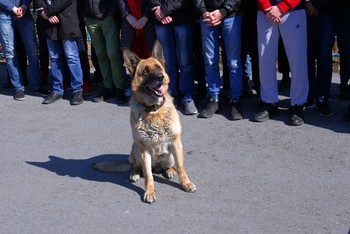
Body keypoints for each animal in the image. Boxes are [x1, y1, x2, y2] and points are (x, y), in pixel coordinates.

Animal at [93, 40, 196, 203]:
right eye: (145, 71)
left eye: (158, 68)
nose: (160, 77)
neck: (154, 111)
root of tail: (158, 167)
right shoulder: (144, 151)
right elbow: (148, 175)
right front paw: (149, 192)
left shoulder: (175, 142)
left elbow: (181, 167)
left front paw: (185, 183)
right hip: (135, 148)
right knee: (136, 166)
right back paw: (135, 173)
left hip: (172, 154)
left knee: (171, 165)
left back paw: (169, 170)